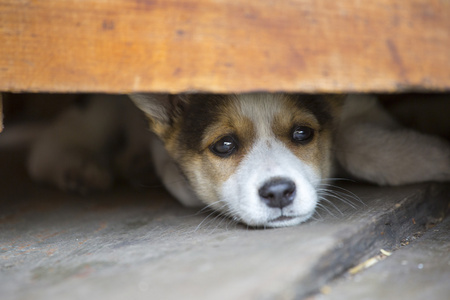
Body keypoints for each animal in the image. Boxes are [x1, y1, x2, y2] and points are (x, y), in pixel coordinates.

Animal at [27, 94, 450, 227]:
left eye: (302, 134)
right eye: (225, 146)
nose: (278, 193)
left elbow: (358, 142)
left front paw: (430, 151)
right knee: (51, 143)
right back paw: (78, 169)